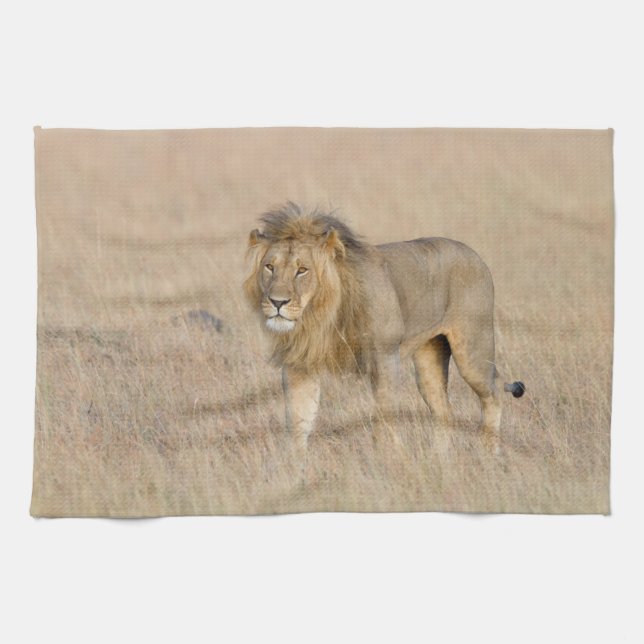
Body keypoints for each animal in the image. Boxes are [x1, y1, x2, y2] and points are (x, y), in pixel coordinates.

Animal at [244, 202, 524, 454]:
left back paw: (488, 453)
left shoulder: (385, 357)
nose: (277, 302)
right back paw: (440, 458)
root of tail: (474, 254)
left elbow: (384, 417)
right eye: (270, 267)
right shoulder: (299, 364)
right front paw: (294, 468)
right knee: (444, 410)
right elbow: (298, 422)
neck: (321, 315)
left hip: (473, 350)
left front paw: (388, 457)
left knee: (494, 392)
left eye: (302, 270)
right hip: (429, 359)